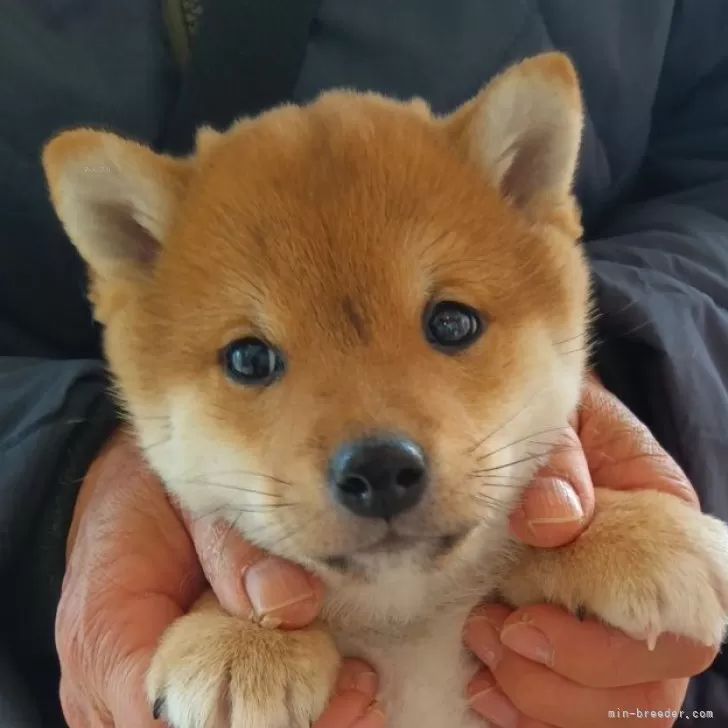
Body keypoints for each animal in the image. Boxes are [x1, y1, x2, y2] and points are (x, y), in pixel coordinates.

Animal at [41, 52, 728, 728]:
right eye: (249, 358)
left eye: (452, 322)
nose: (378, 468)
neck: (408, 625)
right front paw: (238, 637)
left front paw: (635, 533)